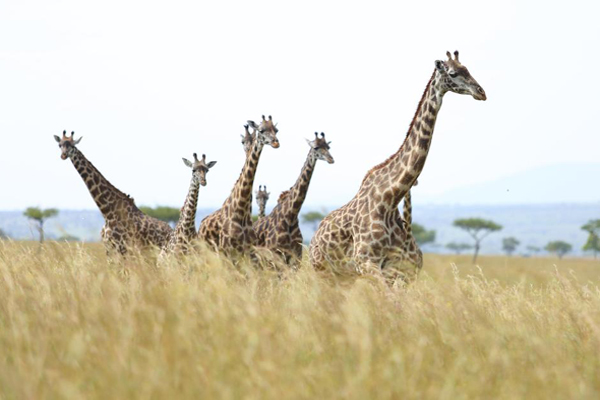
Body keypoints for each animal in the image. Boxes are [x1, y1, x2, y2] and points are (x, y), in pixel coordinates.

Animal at [198, 115, 280, 255]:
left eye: (276, 130)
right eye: (262, 130)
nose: (276, 142)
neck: (241, 211)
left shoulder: (247, 250)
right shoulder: (227, 250)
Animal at [253, 131, 336, 262]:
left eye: (328, 147)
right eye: (316, 147)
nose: (331, 159)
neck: (291, 215)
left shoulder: (296, 256)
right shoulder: (276, 254)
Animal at [310, 50, 488, 282]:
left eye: (468, 69)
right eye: (453, 73)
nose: (481, 92)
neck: (390, 197)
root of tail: (314, 235)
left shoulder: (393, 268)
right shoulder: (366, 261)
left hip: (343, 277)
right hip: (322, 271)